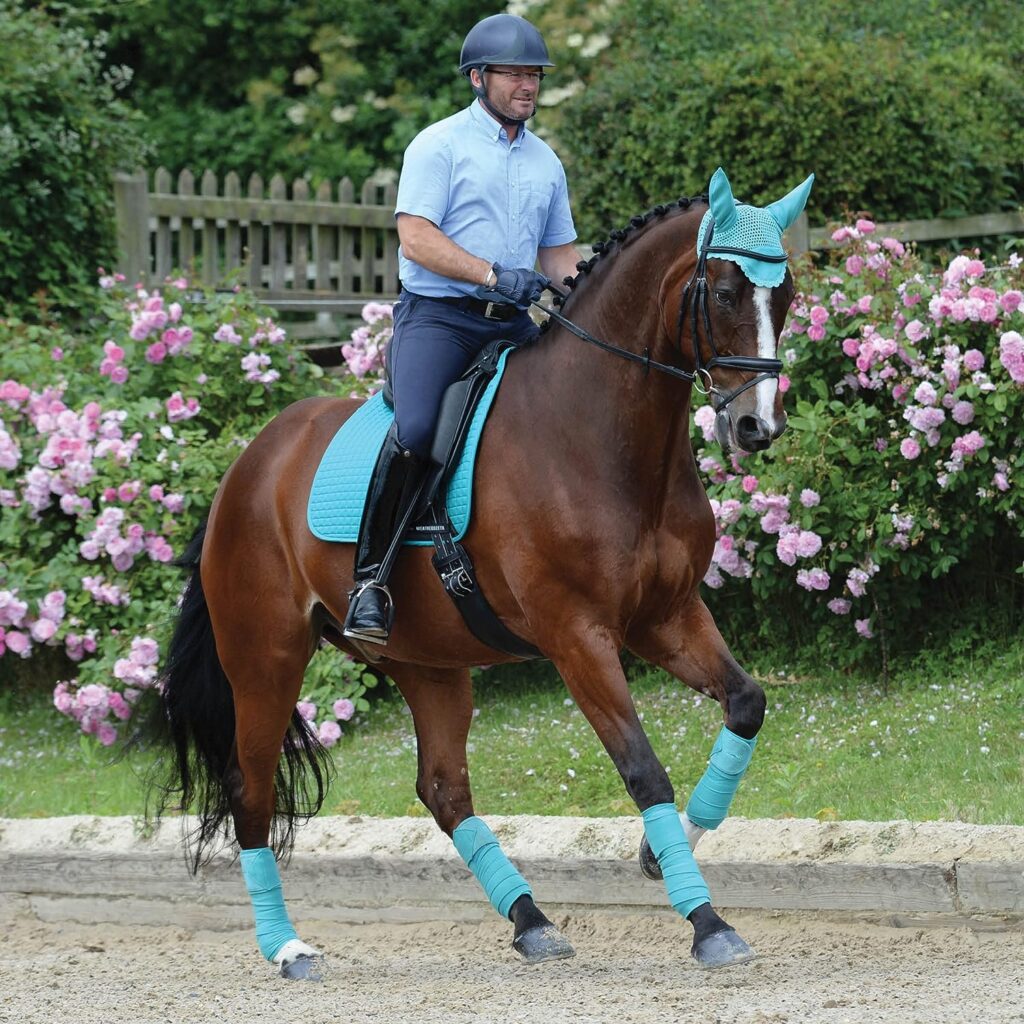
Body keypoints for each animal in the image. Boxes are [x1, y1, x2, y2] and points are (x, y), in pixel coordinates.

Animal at [148, 172, 815, 978]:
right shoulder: (577, 636)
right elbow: (643, 769)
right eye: (721, 291)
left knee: (443, 789)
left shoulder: (666, 617)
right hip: (266, 659)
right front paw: (707, 922)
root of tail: (245, 467)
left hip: (425, 661)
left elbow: (745, 704)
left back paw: (531, 921)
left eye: (785, 297)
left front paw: (661, 854)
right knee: (250, 789)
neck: (599, 435)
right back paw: (288, 947)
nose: (757, 428)